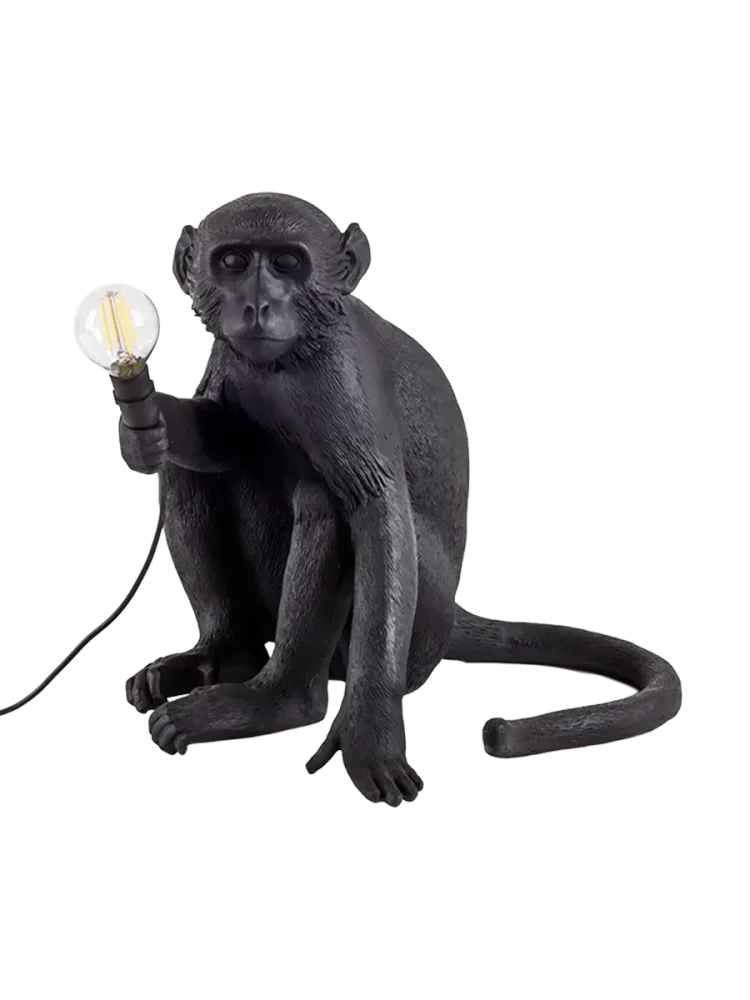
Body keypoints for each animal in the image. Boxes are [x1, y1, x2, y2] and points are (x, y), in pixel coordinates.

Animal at [120, 192, 683, 803]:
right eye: (233, 262)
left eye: (288, 264)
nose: (257, 306)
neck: (289, 357)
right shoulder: (232, 358)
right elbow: (221, 437)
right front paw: (149, 424)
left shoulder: (338, 376)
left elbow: (374, 507)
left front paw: (370, 734)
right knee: (193, 474)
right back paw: (227, 655)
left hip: (420, 622)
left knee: (324, 503)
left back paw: (280, 700)